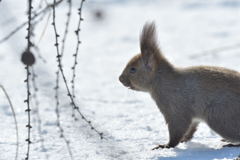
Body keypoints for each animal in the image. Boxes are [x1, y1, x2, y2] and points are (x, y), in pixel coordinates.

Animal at [118, 21, 240, 149]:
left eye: (133, 69)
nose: (120, 79)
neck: (161, 81)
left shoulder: (175, 107)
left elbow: (178, 127)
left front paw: (166, 146)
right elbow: (191, 127)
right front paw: (184, 139)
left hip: (220, 116)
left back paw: (231, 143)